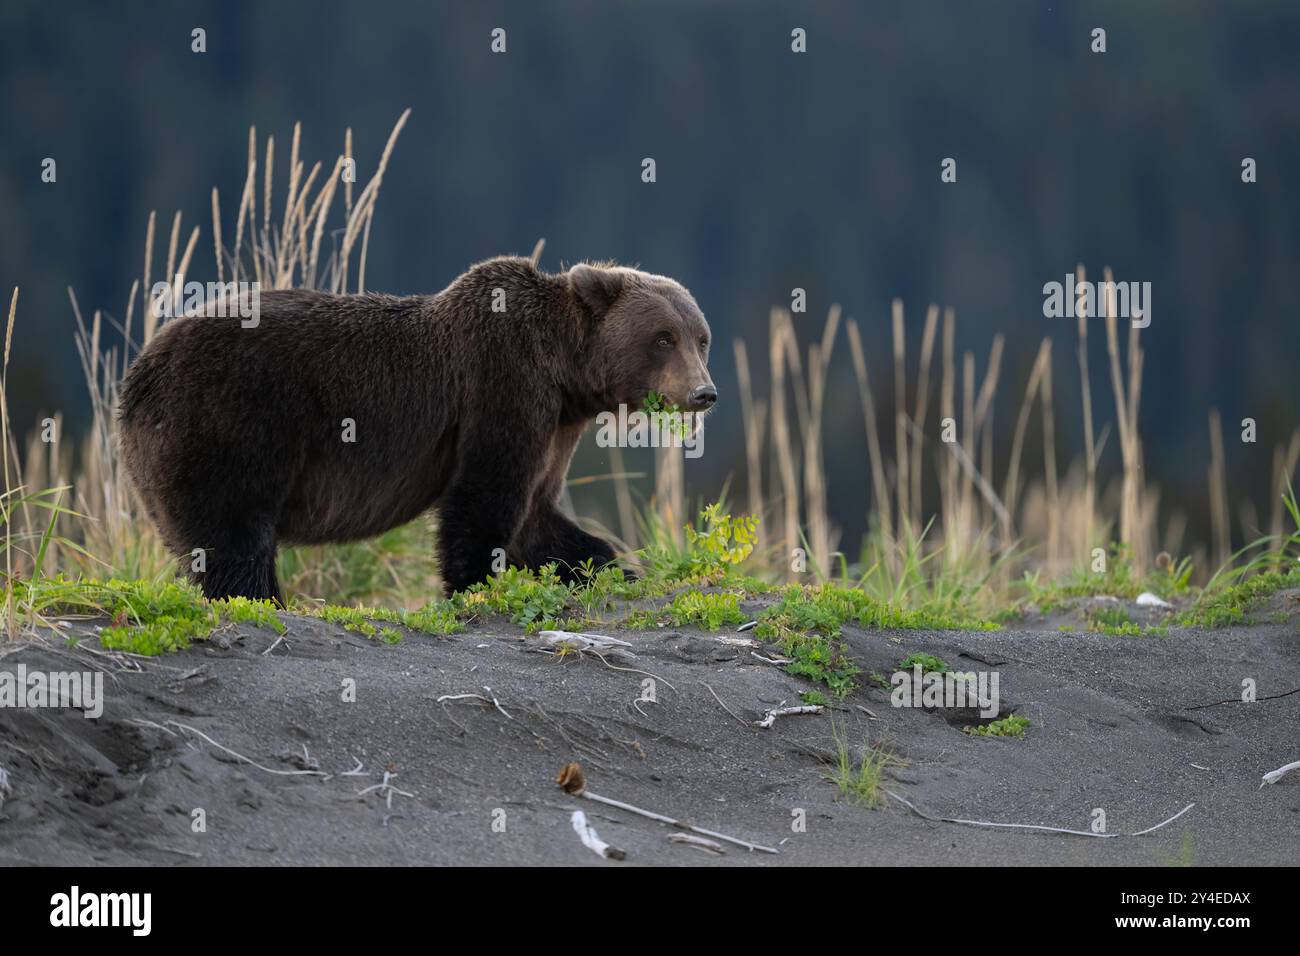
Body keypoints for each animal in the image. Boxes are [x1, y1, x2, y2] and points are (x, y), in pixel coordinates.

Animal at [116, 254, 717, 598]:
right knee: (233, 537)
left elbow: (537, 516)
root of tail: (137, 374)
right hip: (228, 420)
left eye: (701, 337)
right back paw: (257, 597)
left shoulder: (556, 428)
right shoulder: (501, 384)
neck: (565, 373)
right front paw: (473, 583)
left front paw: (612, 565)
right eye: (663, 338)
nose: (704, 393)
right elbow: (483, 496)